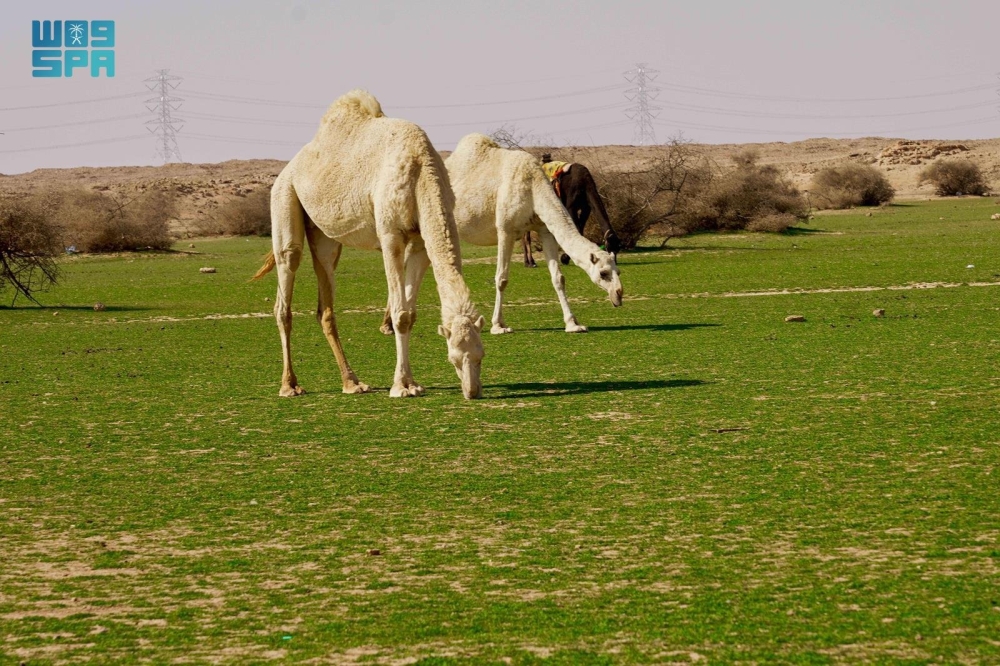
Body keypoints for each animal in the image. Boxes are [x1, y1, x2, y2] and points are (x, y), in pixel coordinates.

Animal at [256, 89, 486, 400]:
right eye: (454, 358)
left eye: (481, 356)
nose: (473, 391)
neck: (420, 169)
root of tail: (287, 169)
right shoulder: (390, 234)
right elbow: (401, 314)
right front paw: (402, 386)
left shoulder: (420, 242)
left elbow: (411, 313)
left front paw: (412, 383)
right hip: (284, 198)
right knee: (285, 283)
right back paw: (289, 385)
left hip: (325, 237)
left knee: (325, 304)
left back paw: (353, 382)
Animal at [380, 132, 620, 334]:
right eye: (603, 273)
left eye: (617, 270)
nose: (619, 295)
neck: (533, 185)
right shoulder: (505, 228)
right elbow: (501, 278)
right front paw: (498, 326)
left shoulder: (544, 229)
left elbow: (558, 278)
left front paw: (573, 324)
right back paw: (390, 325)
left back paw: (392, 323)